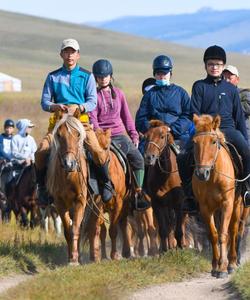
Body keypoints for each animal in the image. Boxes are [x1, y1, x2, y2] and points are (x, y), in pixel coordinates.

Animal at [46, 110, 88, 264]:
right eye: (59, 135)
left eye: (78, 134)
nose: (69, 164)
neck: (69, 176)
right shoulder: (60, 203)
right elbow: (67, 230)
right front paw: (71, 257)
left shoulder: (80, 201)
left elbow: (75, 229)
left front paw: (75, 259)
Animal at [144, 119, 187, 251]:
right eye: (146, 136)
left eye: (162, 136)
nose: (149, 157)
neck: (165, 177)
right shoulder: (157, 203)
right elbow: (163, 230)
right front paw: (164, 250)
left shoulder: (179, 203)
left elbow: (179, 229)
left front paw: (180, 248)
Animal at [191, 113, 242, 278]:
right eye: (194, 142)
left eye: (213, 142)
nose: (202, 173)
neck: (213, 177)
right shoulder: (205, 208)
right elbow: (213, 235)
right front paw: (215, 266)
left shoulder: (227, 204)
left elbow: (223, 234)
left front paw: (223, 268)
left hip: (237, 205)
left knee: (233, 230)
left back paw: (232, 263)